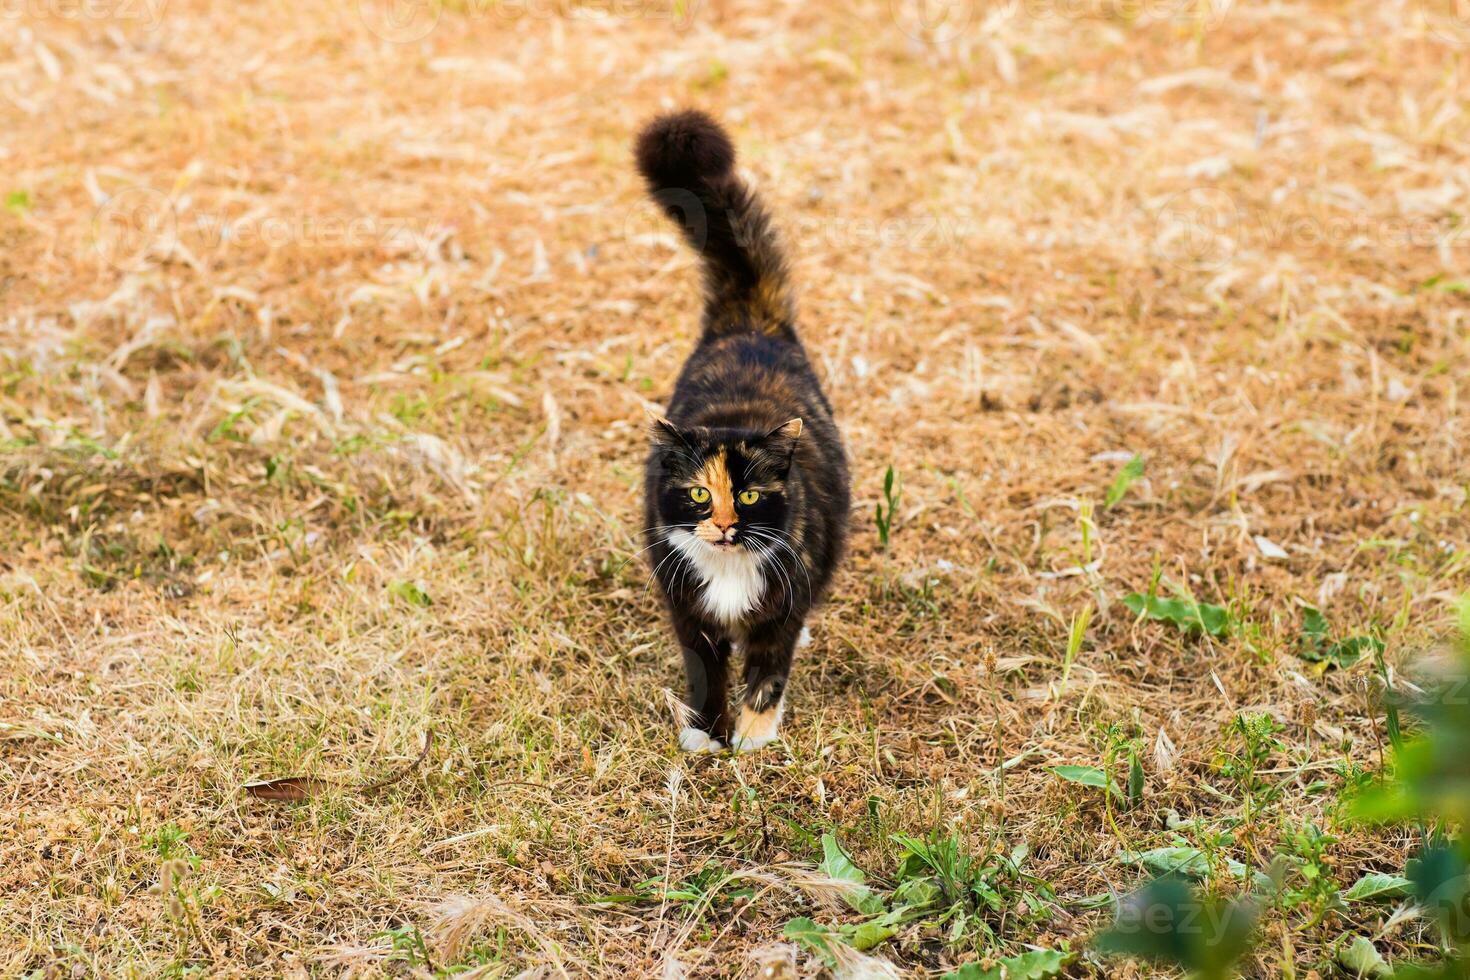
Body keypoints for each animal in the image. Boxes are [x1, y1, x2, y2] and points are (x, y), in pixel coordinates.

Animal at [632, 109, 852, 752]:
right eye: (700, 494)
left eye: (750, 496)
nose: (728, 525)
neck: (729, 575)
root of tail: (749, 321)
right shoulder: (687, 608)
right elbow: (706, 672)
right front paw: (707, 736)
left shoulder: (781, 608)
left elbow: (767, 672)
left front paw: (752, 741)